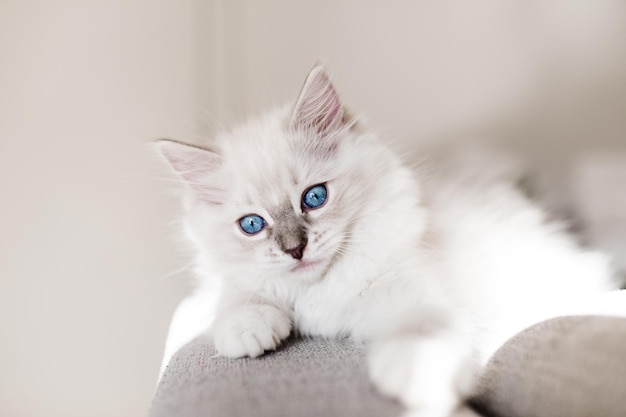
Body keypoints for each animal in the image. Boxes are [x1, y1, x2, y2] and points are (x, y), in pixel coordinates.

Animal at [158, 66, 616, 414]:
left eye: (315, 197)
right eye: (252, 225)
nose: (295, 249)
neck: (321, 290)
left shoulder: (413, 297)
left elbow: (419, 334)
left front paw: (414, 379)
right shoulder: (234, 281)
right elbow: (238, 298)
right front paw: (249, 332)